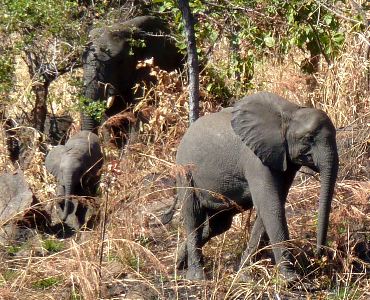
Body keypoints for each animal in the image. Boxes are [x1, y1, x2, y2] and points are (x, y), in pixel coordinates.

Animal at [163, 91, 340, 282]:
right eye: (308, 138)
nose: (319, 256)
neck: (290, 112)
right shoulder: (255, 159)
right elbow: (271, 206)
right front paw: (291, 279)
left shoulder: (283, 159)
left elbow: (271, 206)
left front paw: (244, 273)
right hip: (185, 171)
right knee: (192, 215)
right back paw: (196, 277)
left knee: (218, 225)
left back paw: (179, 263)